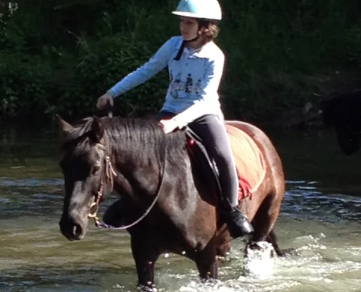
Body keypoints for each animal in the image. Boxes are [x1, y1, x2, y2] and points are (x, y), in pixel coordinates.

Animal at [55, 114, 286, 290]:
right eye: (63, 166)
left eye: (94, 168)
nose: (71, 225)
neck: (169, 194)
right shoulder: (143, 254)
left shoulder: (206, 257)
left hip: (262, 225)